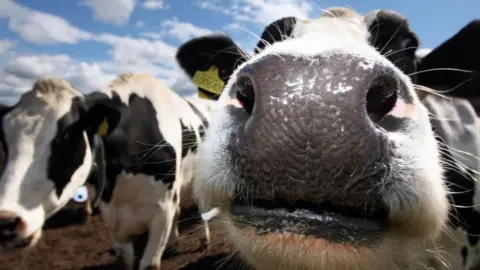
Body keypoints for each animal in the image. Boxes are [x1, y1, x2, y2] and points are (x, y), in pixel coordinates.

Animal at [0, 74, 213, 270]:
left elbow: (149, 264)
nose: (6, 221)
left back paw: (204, 240)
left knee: (201, 207)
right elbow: (125, 261)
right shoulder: (113, 215)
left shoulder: (162, 209)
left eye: (66, 135)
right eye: (5, 141)